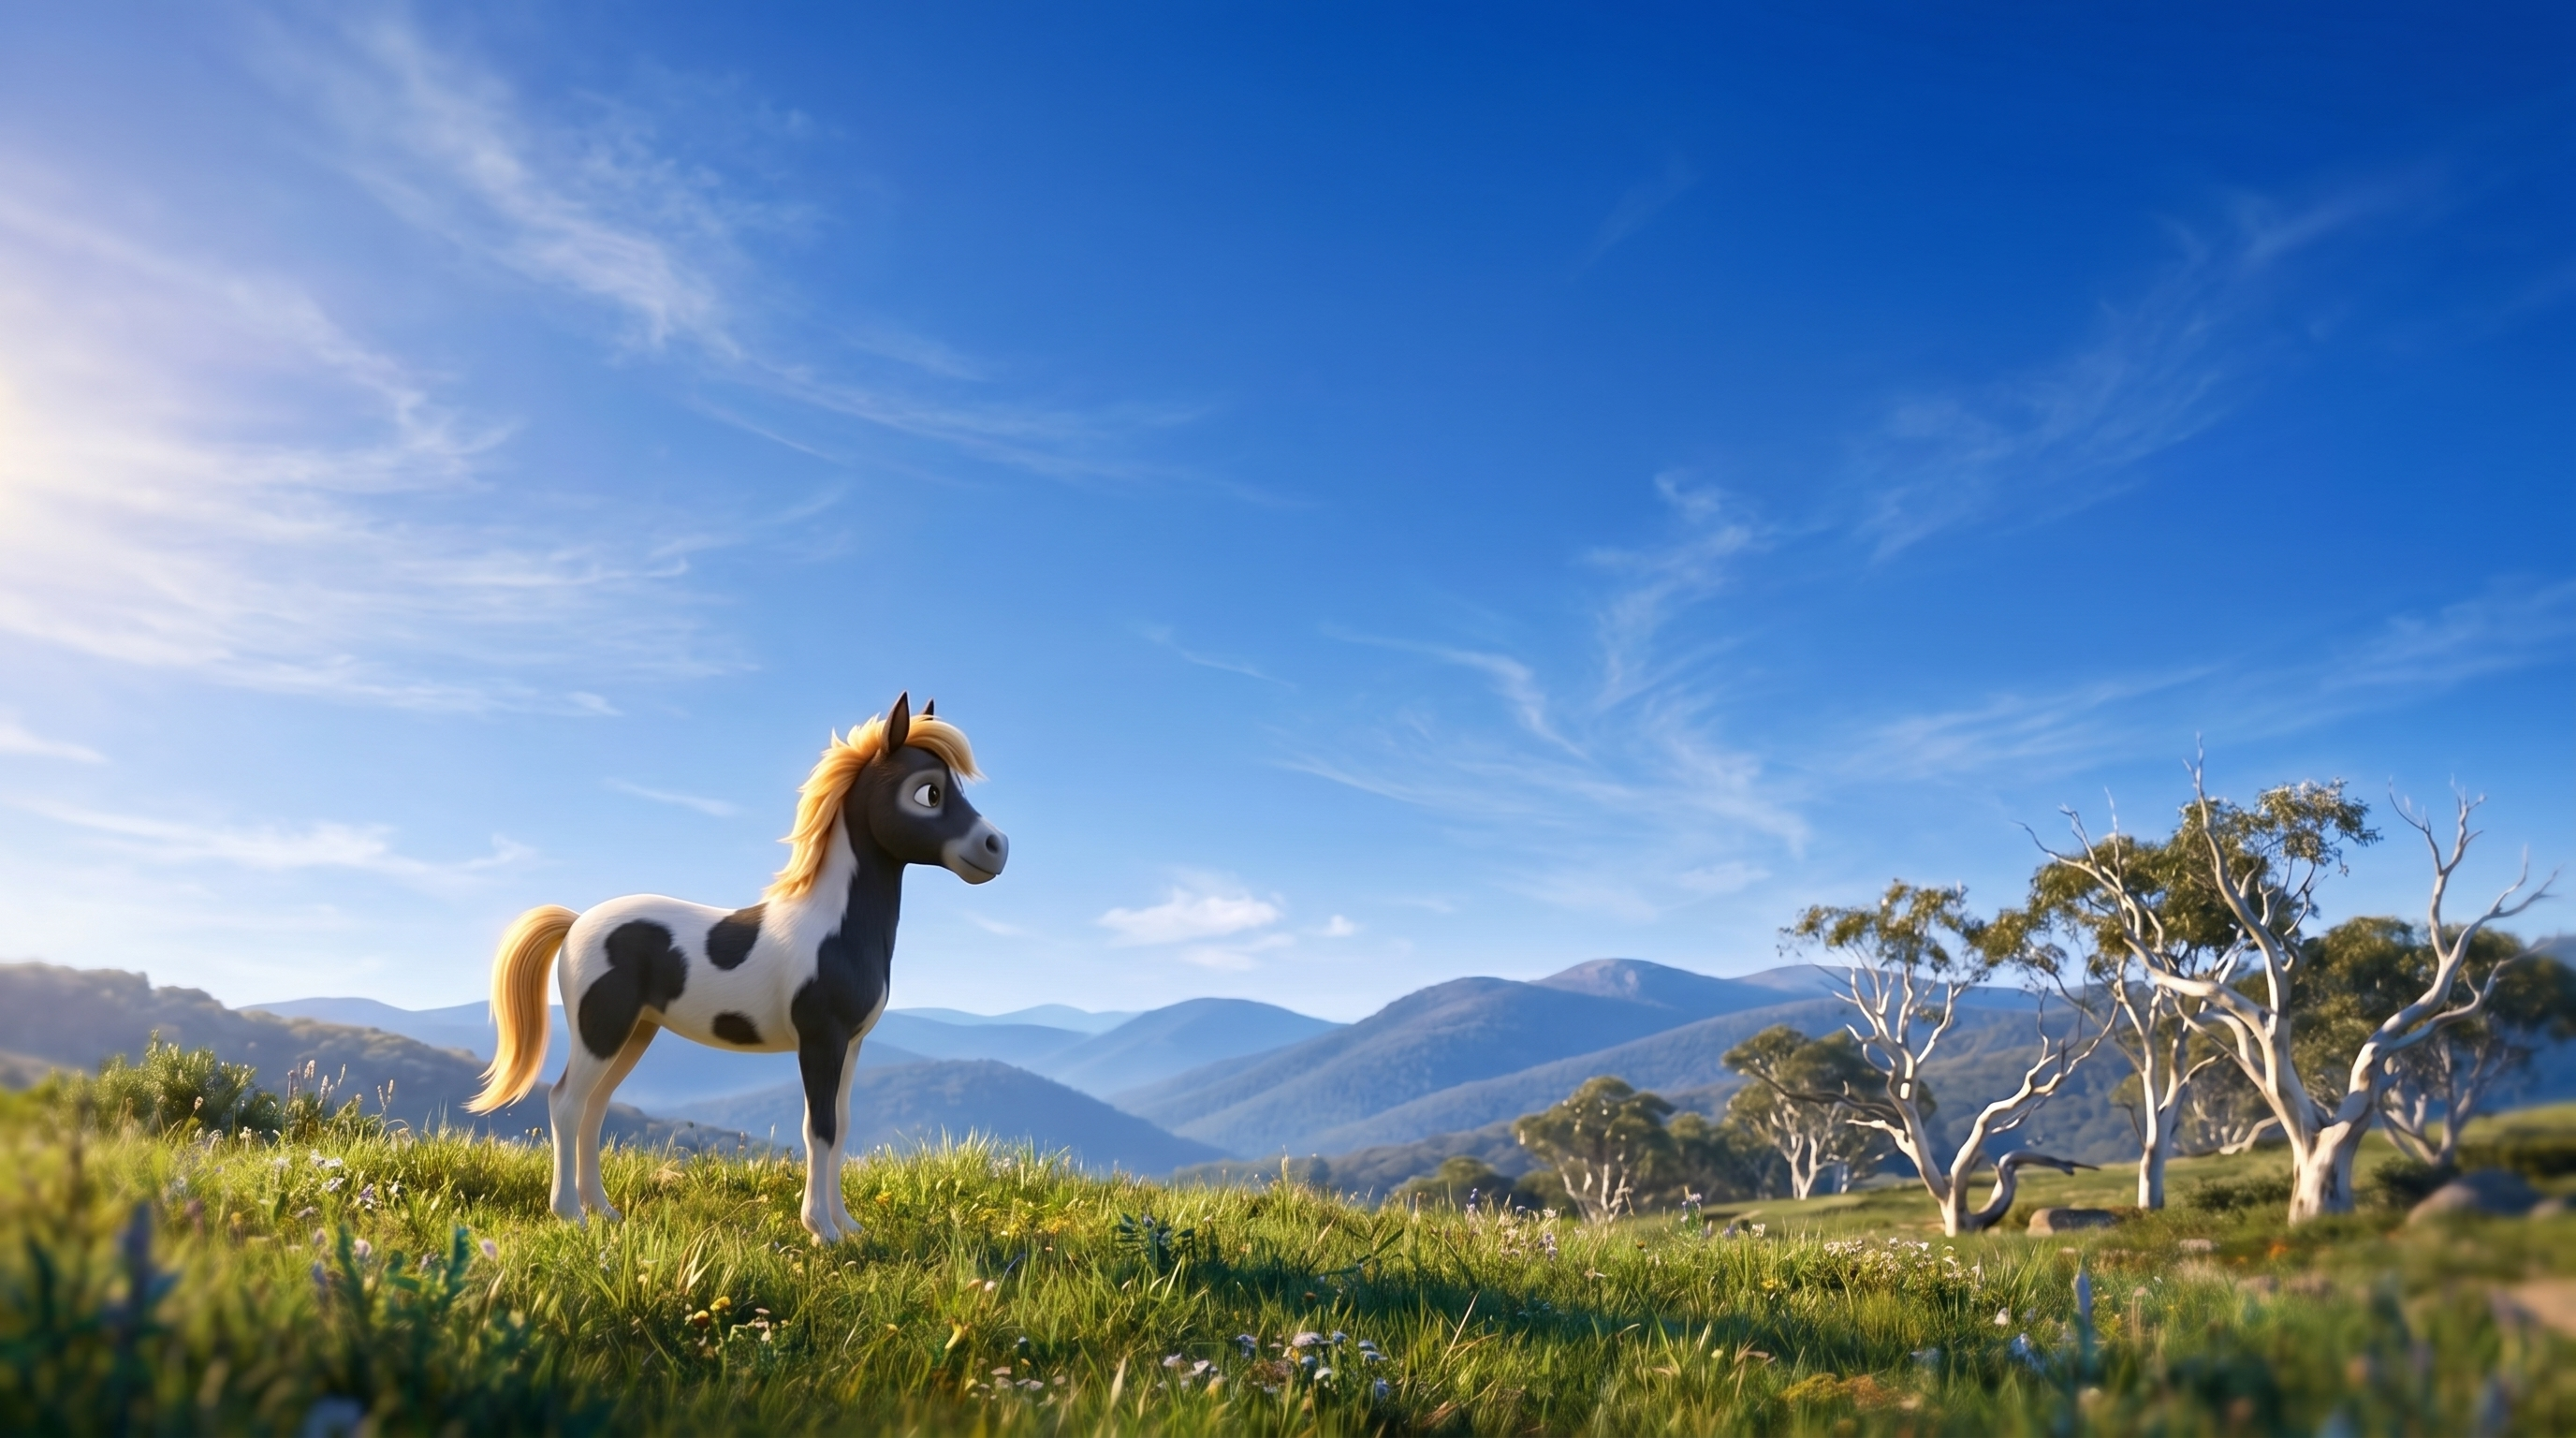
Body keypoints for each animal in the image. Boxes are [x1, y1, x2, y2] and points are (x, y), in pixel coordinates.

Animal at [466, 692, 1008, 1242]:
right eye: (928, 792)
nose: (996, 847)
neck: (833, 928)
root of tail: (576, 923)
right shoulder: (821, 1040)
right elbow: (820, 1128)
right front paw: (821, 1230)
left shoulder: (851, 1044)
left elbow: (842, 1125)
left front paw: (848, 1225)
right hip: (601, 1030)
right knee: (566, 1103)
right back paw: (571, 1215)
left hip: (635, 1032)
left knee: (595, 1108)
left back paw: (604, 1211)